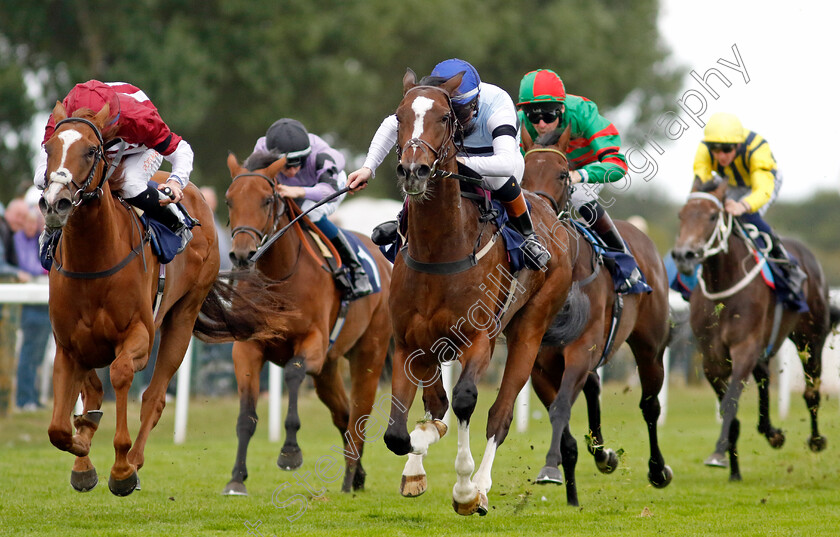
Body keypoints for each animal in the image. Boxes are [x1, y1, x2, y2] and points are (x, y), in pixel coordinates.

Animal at [39, 99, 292, 494]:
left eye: (92, 150)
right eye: (48, 148)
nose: (56, 203)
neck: (93, 260)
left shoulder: (140, 336)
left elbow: (122, 374)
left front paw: (121, 469)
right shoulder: (67, 345)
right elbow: (59, 427)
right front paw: (83, 452)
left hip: (182, 318)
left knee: (154, 397)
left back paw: (133, 462)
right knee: (95, 390)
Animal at [223, 151, 394, 494]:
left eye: (266, 200)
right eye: (229, 200)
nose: (242, 254)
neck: (277, 278)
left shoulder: (313, 342)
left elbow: (292, 373)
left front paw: (290, 452)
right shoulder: (247, 348)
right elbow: (246, 416)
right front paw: (236, 478)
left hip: (369, 351)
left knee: (359, 413)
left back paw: (349, 478)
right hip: (328, 369)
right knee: (343, 414)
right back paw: (357, 475)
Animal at [382, 71, 576, 516]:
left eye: (443, 116)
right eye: (399, 116)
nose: (414, 169)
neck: (440, 249)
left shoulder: (479, 339)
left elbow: (464, 400)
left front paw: (465, 489)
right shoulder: (408, 342)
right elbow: (399, 432)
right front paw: (417, 456)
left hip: (530, 330)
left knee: (499, 415)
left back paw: (482, 485)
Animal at [520, 127, 672, 504]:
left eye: (563, 174)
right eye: (522, 173)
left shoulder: (580, 350)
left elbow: (561, 409)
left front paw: (551, 470)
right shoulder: (540, 363)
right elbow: (564, 428)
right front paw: (570, 490)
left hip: (650, 348)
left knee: (650, 405)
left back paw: (657, 470)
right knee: (594, 385)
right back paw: (603, 454)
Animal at [668, 178, 840, 480]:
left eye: (712, 216)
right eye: (682, 215)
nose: (684, 255)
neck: (723, 285)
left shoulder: (744, 347)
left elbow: (730, 403)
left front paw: (718, 454)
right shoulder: (712, 357)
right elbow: (730, 407)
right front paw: (733, 468)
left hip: (810, 338)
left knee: (811, 391)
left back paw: (816, 440)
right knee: (764, 378)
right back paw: (772, 433)